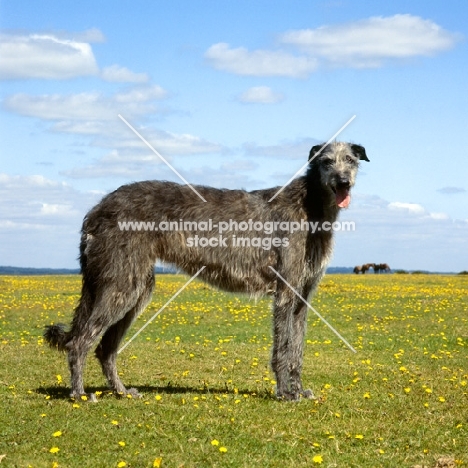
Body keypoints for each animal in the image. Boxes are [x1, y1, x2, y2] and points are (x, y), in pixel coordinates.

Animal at [44, 141, 370, 400]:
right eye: (326, 161)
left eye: (350, 159)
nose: (343, 182)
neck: (310, 205)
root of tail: (95, 210)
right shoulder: (284, 292)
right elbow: (282, 348)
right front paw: (284, 393)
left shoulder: (302, 297)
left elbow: (297, 350)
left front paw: (299, 390)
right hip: (120, 285)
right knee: (80, 342)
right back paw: (79, 394)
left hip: (136, 288)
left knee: (105, 348)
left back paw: (122, 391)